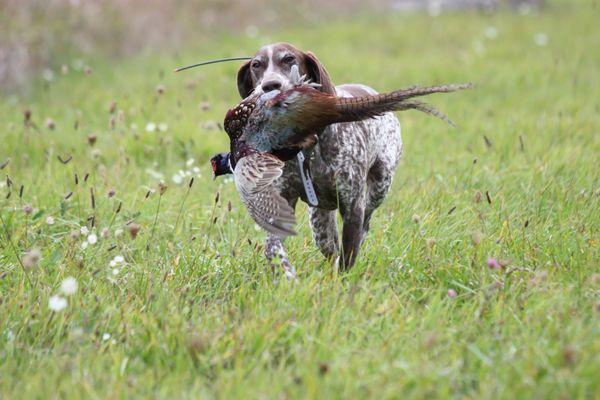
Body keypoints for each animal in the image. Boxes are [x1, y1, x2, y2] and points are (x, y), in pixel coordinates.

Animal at [236, 42, 404, 276]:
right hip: (318, 220)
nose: (270, 85)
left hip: (379, 186)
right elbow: (273, 248)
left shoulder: (353, 206)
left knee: (365, 224)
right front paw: (287, 274)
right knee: (329, 244)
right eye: (256, 65)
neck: (307, 149)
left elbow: (348, 256)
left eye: (289, 59)